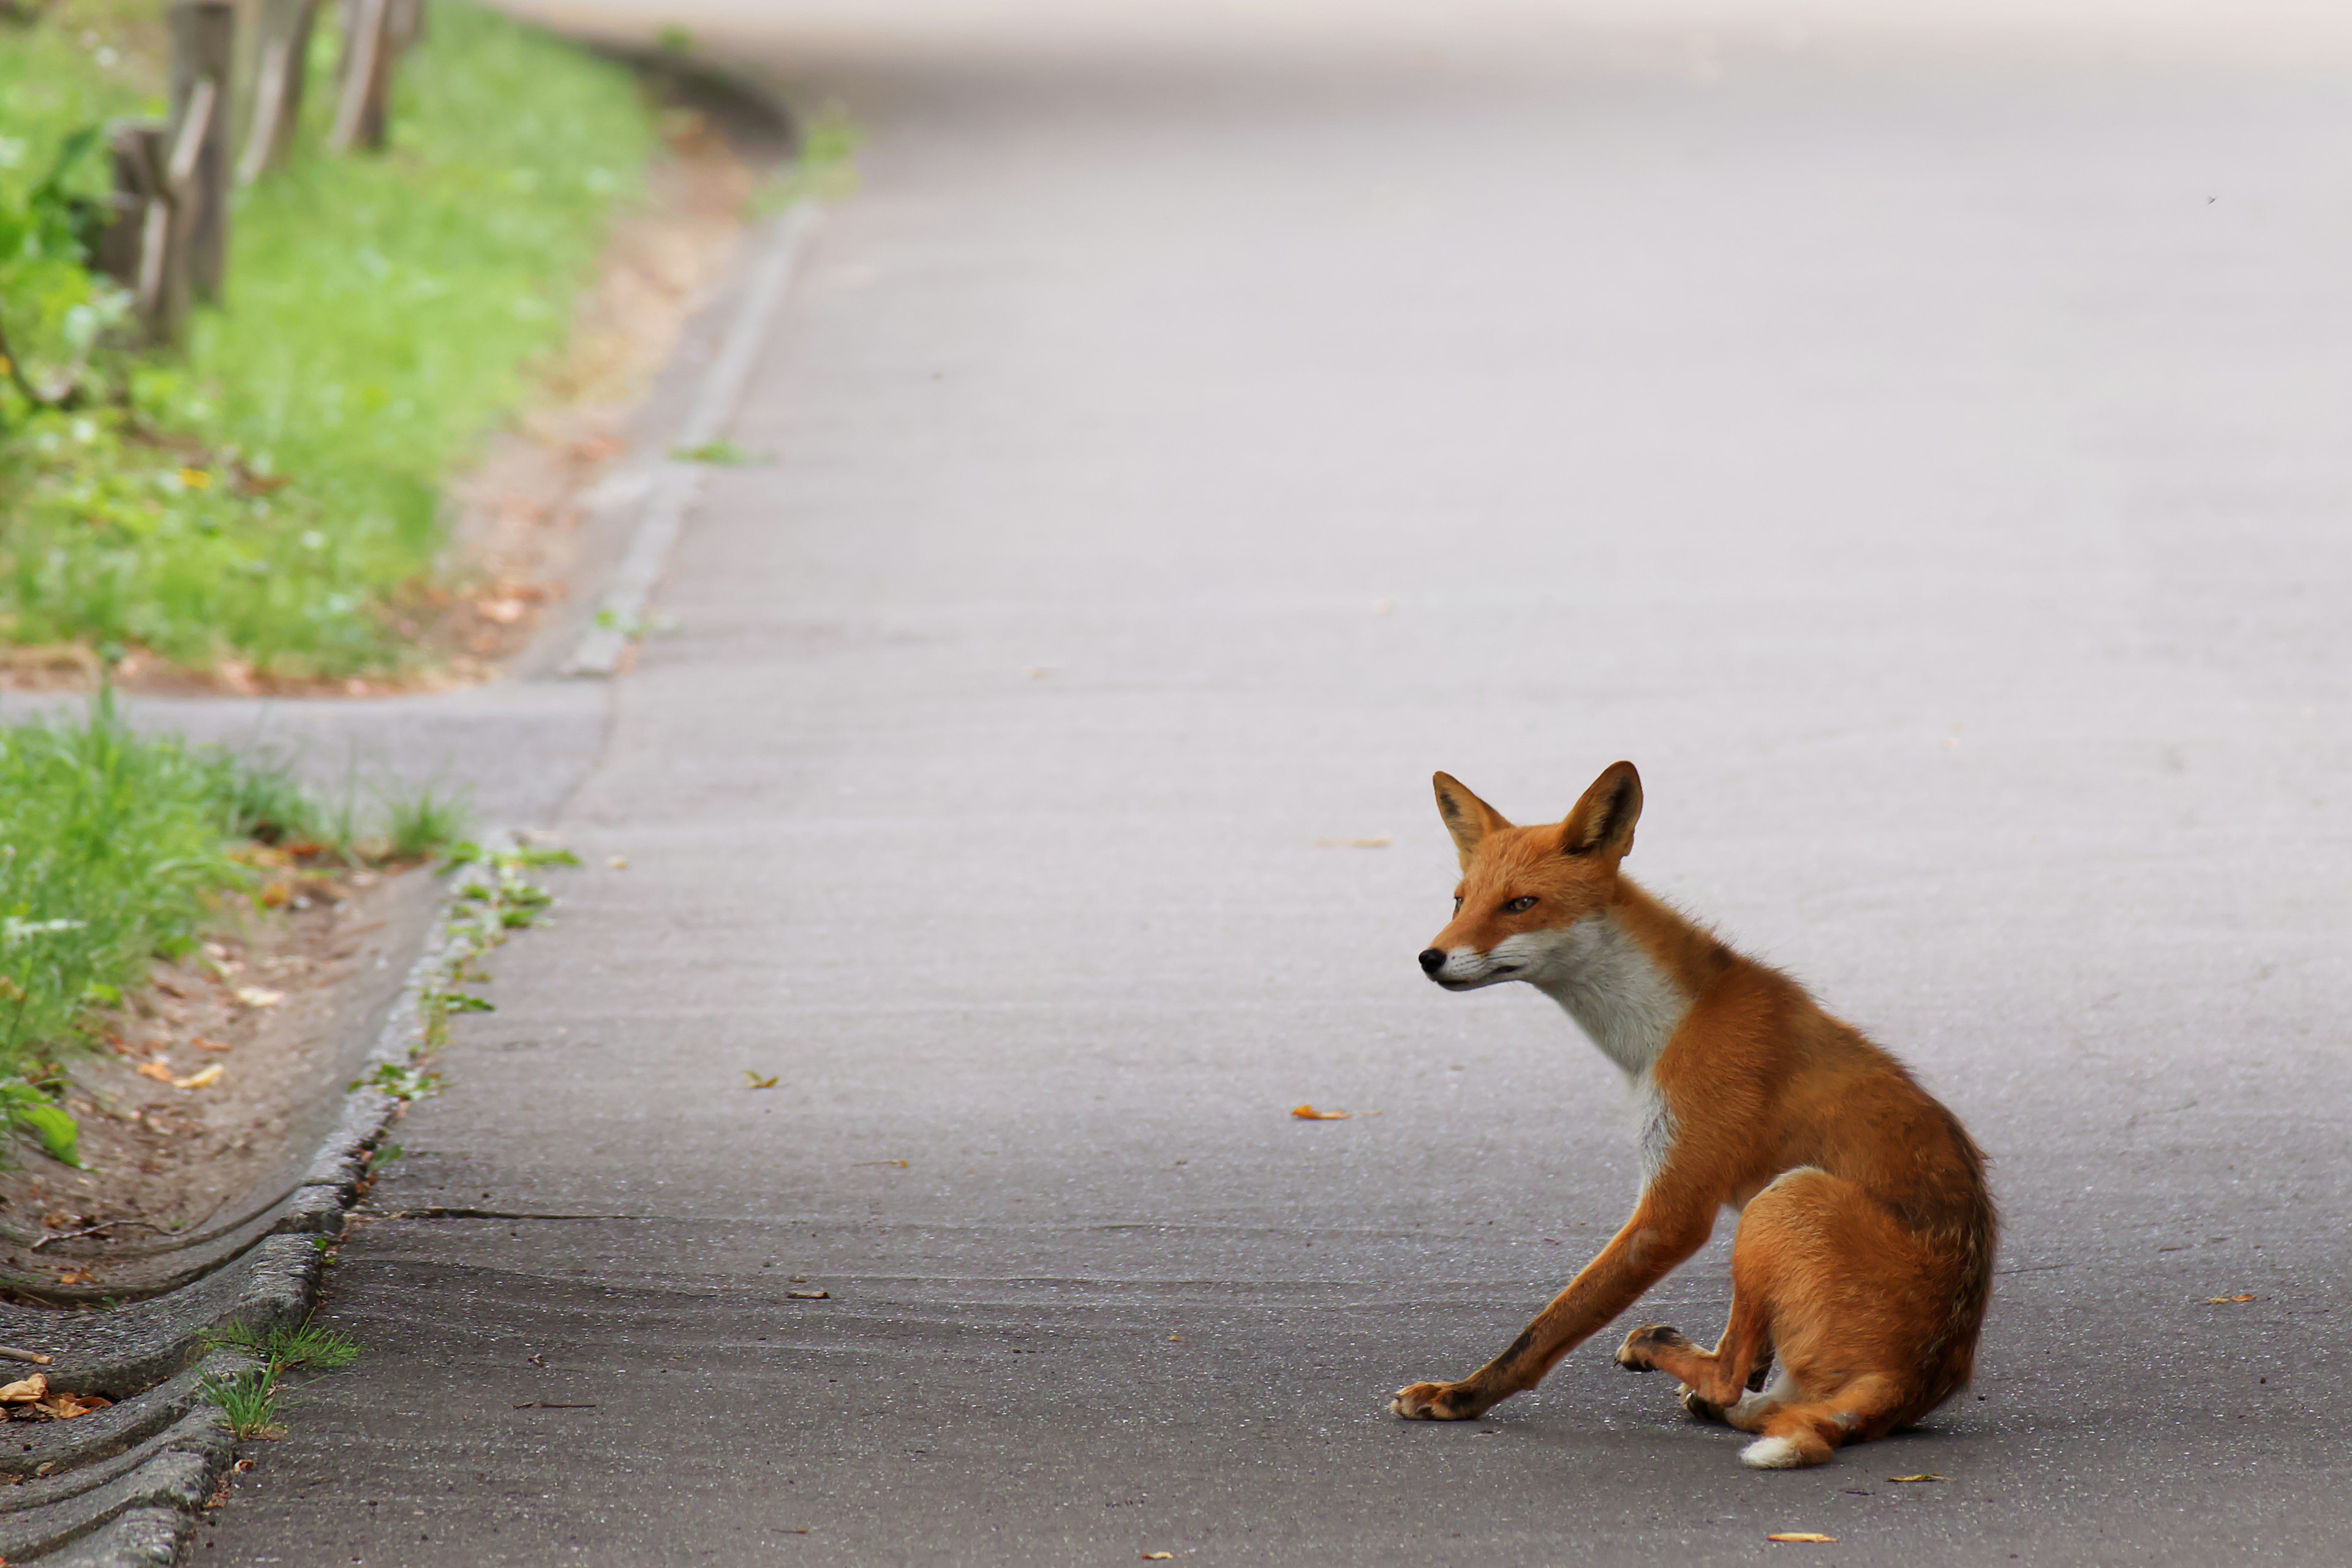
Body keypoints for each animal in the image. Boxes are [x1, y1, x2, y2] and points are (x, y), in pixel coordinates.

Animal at [1382, 761, 1994, 1476]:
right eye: (1459, 902)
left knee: (1729, 1377)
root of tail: (1919, 1381)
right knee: (1758, 1397)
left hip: (1785, 1196)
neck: (1661, 1026)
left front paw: (1462, 1396)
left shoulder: (1671, 1210)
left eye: (1521, 904)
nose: (1430, 957)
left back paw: (1663, 1350)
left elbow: (1546, 1327)